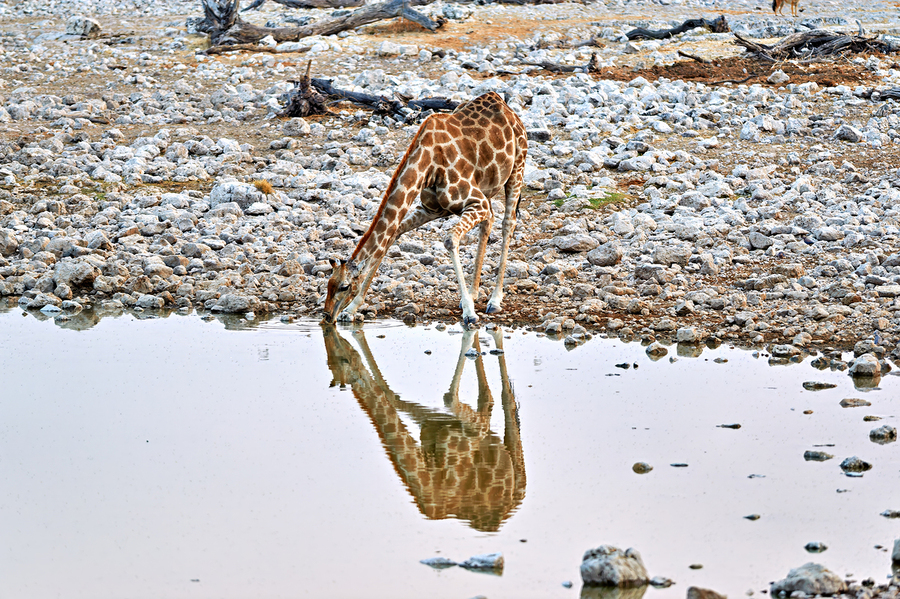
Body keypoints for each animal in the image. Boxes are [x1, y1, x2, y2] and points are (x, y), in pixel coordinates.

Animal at [321, 323, 525, 532]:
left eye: (342, 359)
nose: (329, 321)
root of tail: (513, 503)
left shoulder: (476, 428)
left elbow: (449, 399)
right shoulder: (430, 426)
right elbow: (395, 397)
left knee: (507, 400)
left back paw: (494, 331)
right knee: (486, 397)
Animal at [324, 91, 528, 326]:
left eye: (344, 286)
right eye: (328, 283)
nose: (327, 315)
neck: (428, 166)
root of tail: (504, 105)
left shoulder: (476, 202)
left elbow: (450, 240)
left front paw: (469, 313)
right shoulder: (432, 209)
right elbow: (393, 234)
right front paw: (351, 310)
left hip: (517, 168)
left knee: (508, 223)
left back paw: (494, 301)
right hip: (487, 187)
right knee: (490, 221)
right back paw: (473, 294)